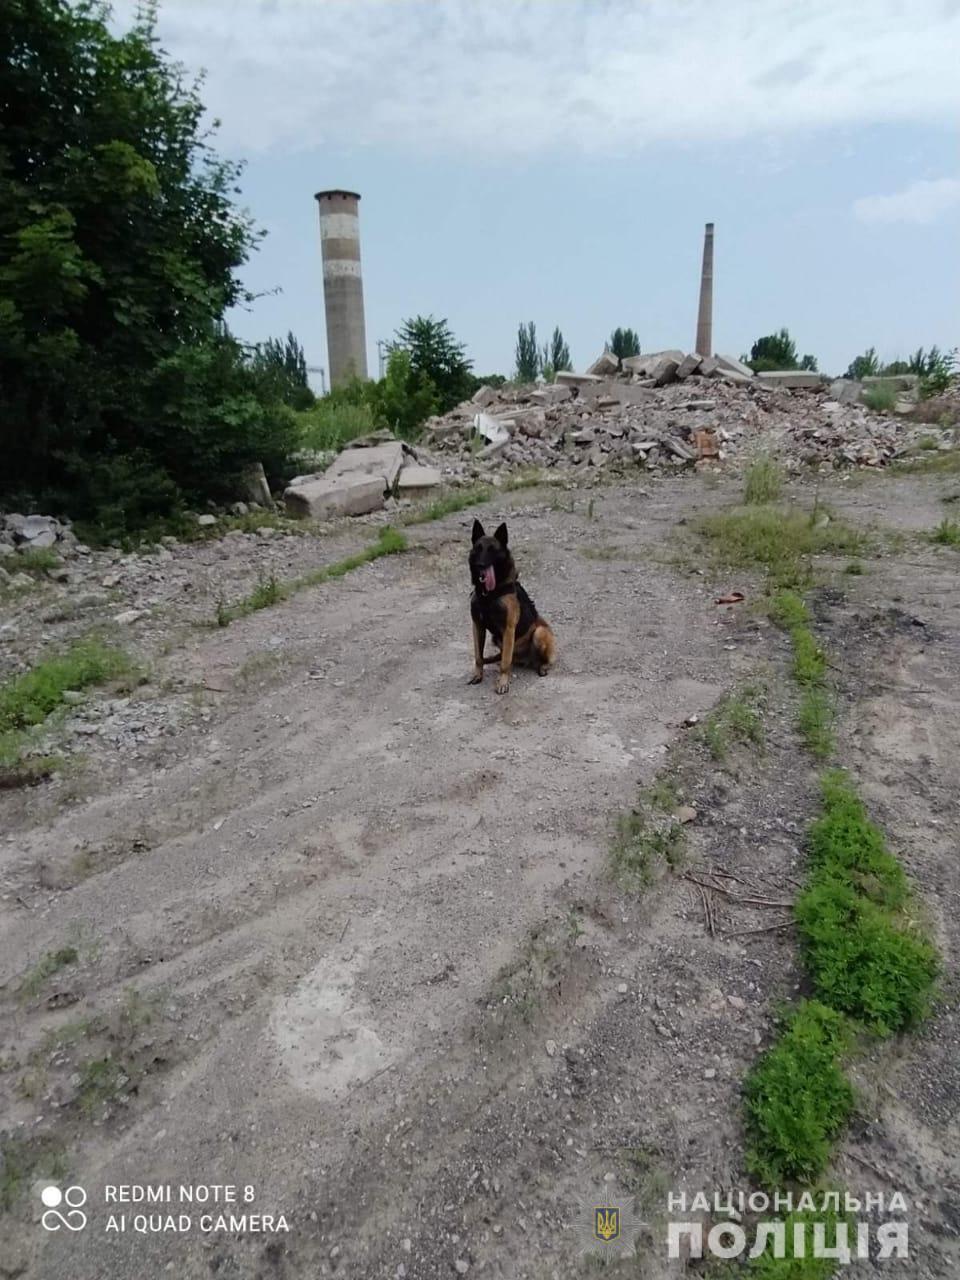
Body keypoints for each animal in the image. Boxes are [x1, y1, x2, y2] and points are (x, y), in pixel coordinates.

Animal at [468, 517, 555, 696]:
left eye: (493, 550)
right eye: (478, 548)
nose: (480, 565)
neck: (489, 594)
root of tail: (525, 659)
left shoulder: (508, 629)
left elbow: (505, 662)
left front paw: (502, 682)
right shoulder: (477, 626)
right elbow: (478, 656)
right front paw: (478, 674)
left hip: (539, 633)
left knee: (542, 659)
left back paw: (543, 666)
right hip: (496, 638)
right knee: (501, 655)